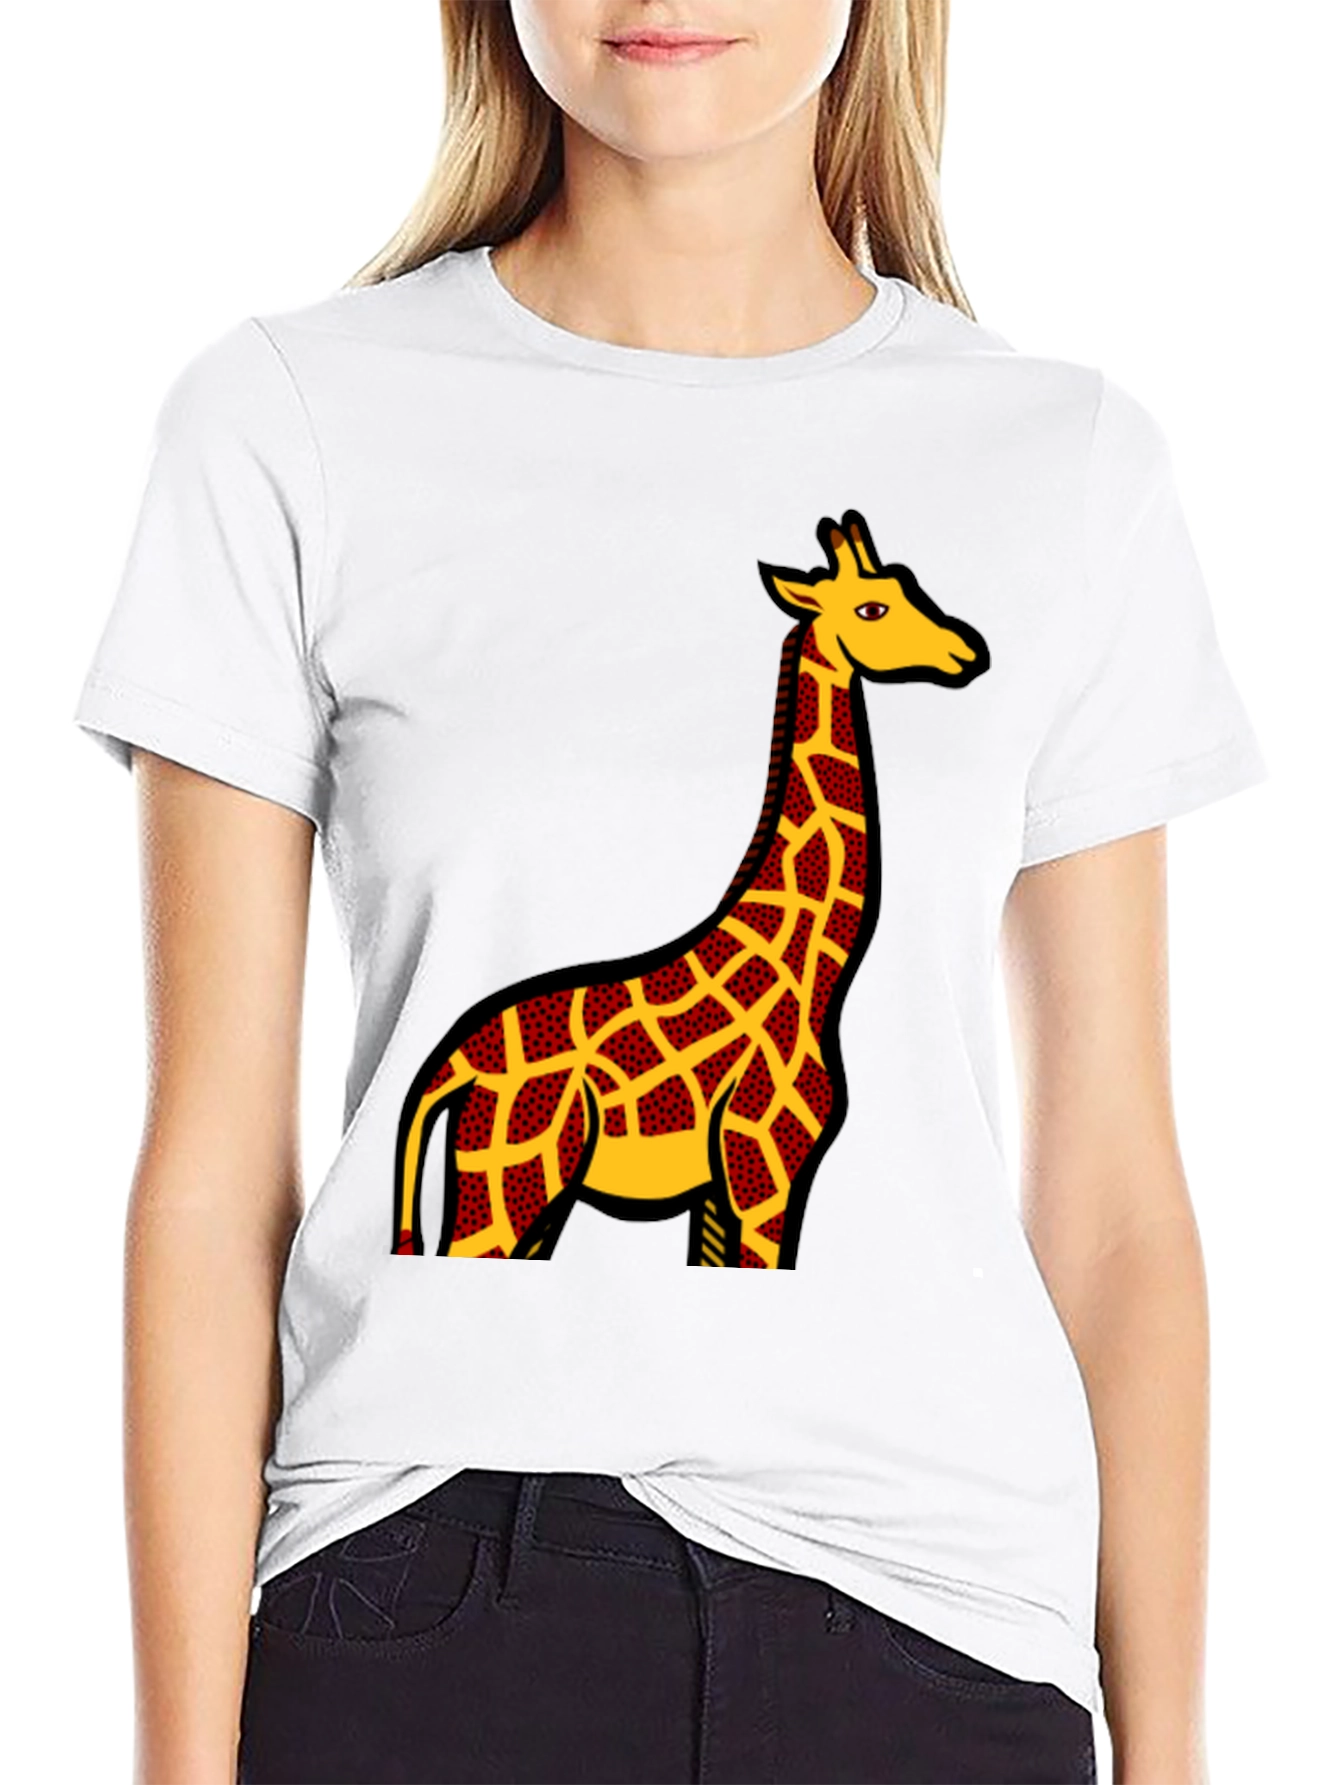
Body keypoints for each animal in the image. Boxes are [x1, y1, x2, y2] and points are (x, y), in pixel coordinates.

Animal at [392, 509, 990, 1268]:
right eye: (872, 609)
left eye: (909, 586)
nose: (967, 652)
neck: (814, 976)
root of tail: (452, 1066)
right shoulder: (766, 1168)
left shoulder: (718, 1193)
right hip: (511, 1177)